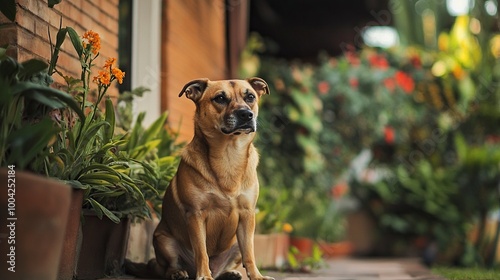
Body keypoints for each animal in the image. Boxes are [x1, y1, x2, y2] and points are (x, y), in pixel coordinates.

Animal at [131, 77, 274, 280]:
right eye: (220, 98)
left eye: (250, 97)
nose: (246, 114)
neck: (229, 154)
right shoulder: (196, 214)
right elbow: (201, 251)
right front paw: (204, 275)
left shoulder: (247, 215)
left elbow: (250, 253)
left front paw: (256, 276)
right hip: (163, 240)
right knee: (170, 265)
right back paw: (178, 273)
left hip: (235, 244)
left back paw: (229, 273)